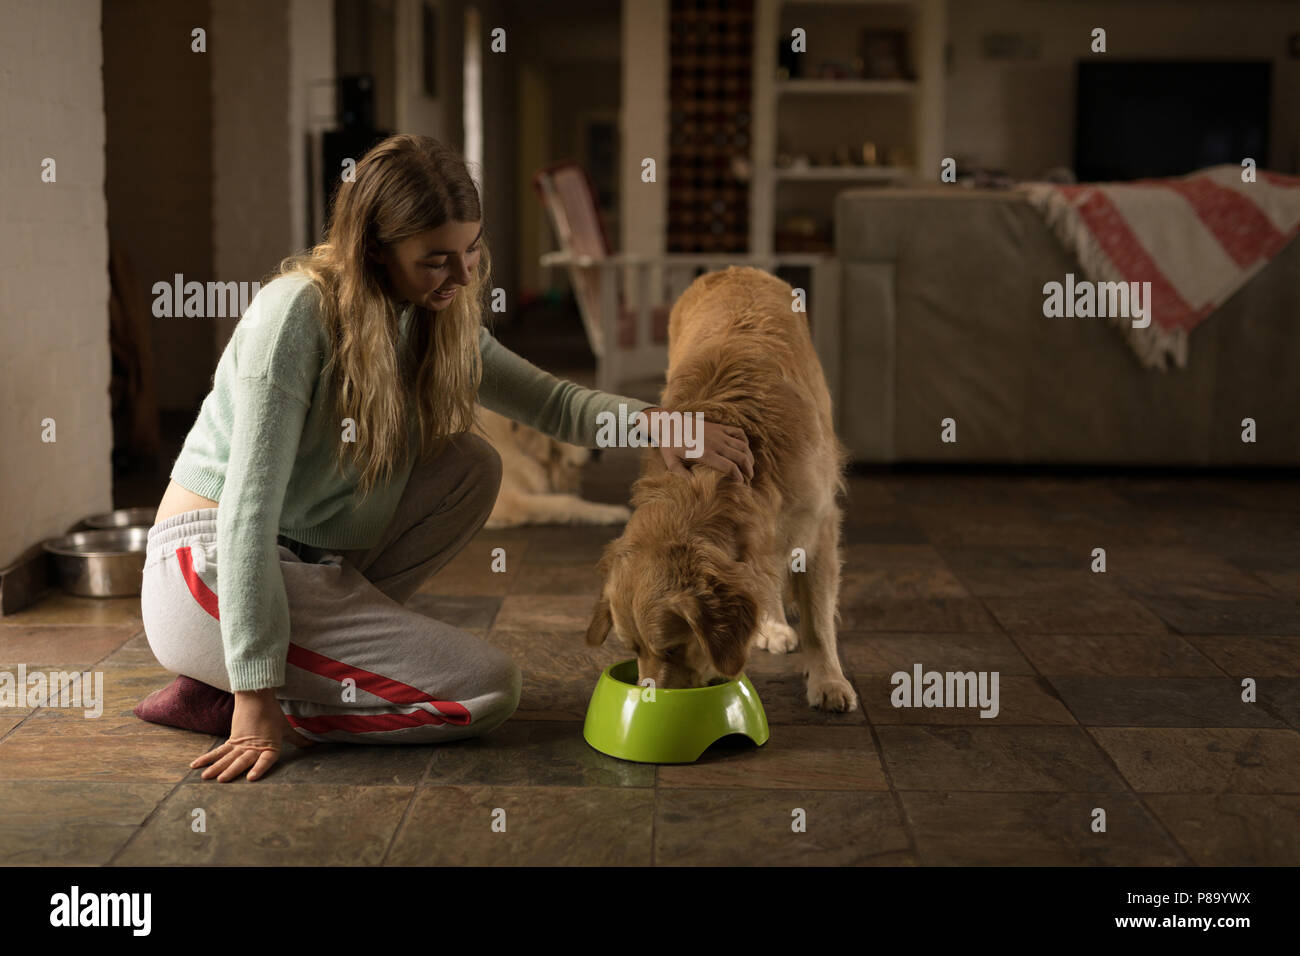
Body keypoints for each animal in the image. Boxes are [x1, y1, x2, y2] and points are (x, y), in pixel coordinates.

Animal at [585, 264, 857, 712]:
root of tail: (732, 268)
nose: (651, 701)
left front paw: (829, 681)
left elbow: (818, 619)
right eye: (633, 649)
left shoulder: (818, 525)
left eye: (672, 648)